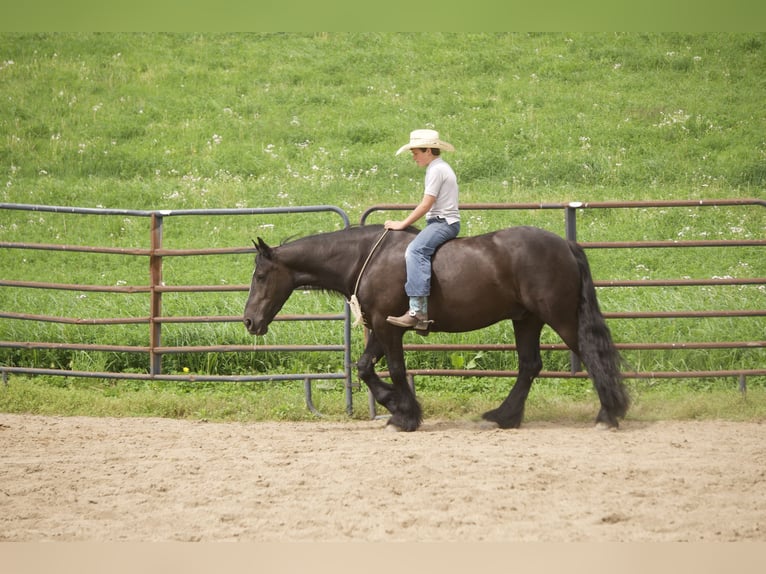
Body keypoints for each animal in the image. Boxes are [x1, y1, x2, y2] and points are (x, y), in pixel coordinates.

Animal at [243, 224, 630, 432]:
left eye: (260, 276)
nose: (249, 320)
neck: (367, 257)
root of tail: (565, 244)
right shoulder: (381, 328)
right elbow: (365, 367)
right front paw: (395, 406)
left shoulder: (389, 328)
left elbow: (395, 370)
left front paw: (405, 415)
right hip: (526, 320)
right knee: (529, 366)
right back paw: (502, 417)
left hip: (559, 317)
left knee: (591, 356)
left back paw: (608, 415)